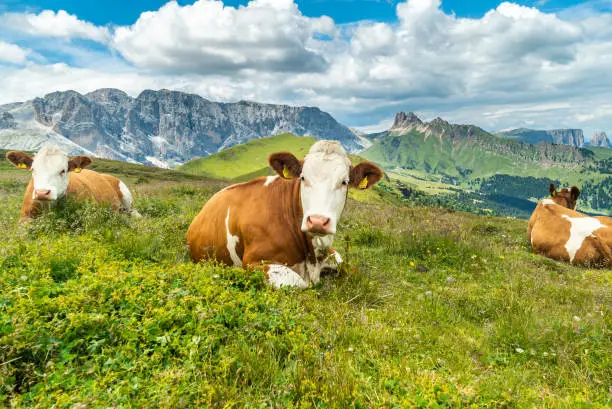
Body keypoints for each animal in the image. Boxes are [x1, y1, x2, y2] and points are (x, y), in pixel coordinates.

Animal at [189, 139, 384, 286]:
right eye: (303, 178)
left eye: (344, 182)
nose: (317, 221)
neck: (312, 258)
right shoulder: (254, 262)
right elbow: (301, 283)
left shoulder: (331, 253)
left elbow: (354, 271)